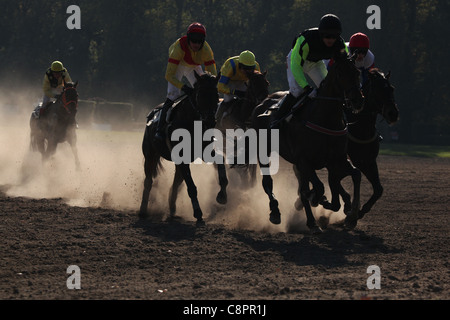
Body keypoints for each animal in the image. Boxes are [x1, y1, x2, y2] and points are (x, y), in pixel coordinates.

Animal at [139, 72, 229, 226]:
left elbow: (220, 162)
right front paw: (198, 214)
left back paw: (172, 211)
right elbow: (191, 187)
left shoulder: (204, 152)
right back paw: (143, 211)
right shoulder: (182, 158)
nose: (210, 121)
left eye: (216, 94)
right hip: (150, 156)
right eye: (200, 95)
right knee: (149, 181)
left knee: (176, 183)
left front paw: (222, 195)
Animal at [251, 52, 364, 232]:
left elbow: (355, 175)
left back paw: (313, 219)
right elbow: (317, 188)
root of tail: (262, 102)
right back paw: (277, 212)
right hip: (263, 150)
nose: (357, 101)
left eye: (357, 72)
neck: (325, 118)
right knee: (268, 181)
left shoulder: (336, 159)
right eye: (341, 74)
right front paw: (316, 199)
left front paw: (351, 214)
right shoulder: (304, 160)